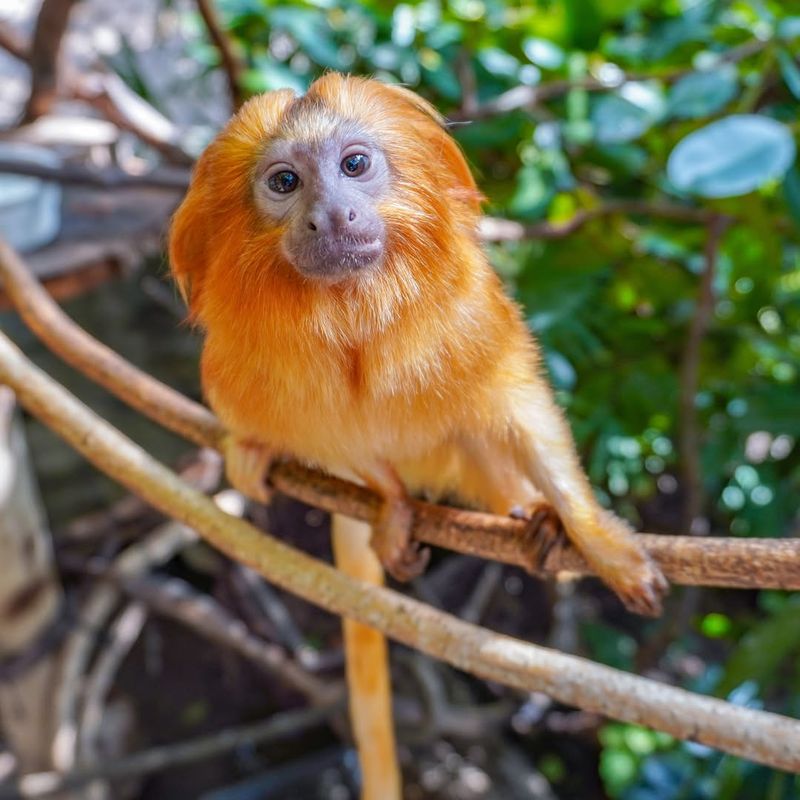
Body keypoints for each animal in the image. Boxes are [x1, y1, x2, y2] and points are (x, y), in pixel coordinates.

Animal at [169, 72, 668, 796]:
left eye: (354, 165)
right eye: (285, 182)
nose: (333, 215)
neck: (349, 310)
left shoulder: (473, 319)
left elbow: (524, 416)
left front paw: (601, 544)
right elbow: (349, 447)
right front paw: (397, 508)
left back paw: (534, 519)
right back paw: (258, 453)